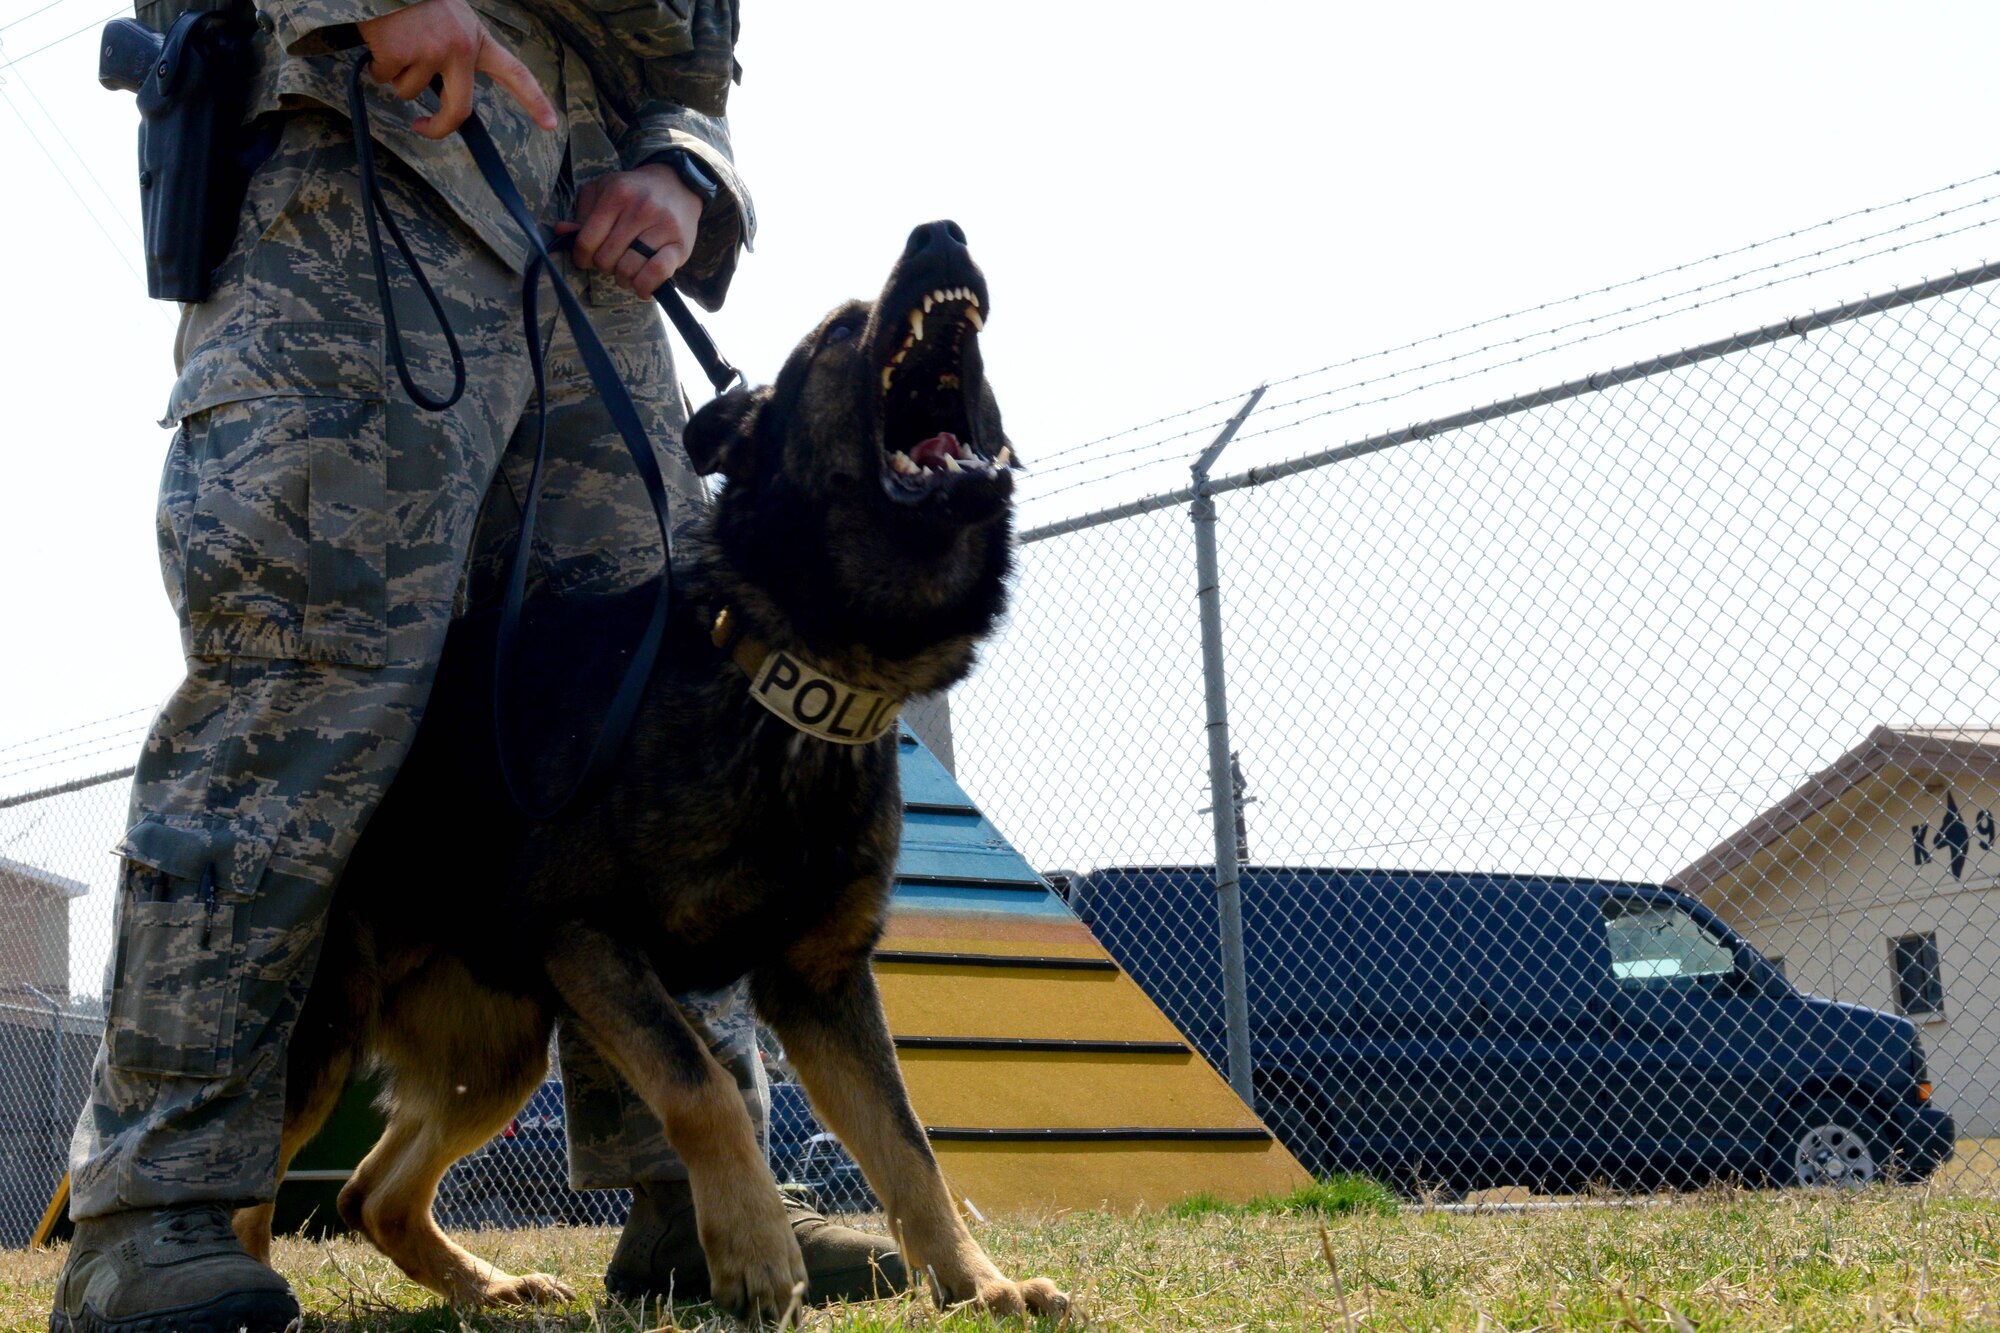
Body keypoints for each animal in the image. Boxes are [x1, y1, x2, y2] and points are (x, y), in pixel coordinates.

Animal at [236, 220, 1072, 1320]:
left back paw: (487, 1286)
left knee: (370, 1194)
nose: (941, 233)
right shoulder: (589, 937)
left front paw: (978, 1284)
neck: (788, 674)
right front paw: (756, 1249)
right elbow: (700, 1086)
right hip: (329, 1027)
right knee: (235, 1172)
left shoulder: (820, 985)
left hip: (497, 1050)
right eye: (838, 330)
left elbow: (907, 1146)